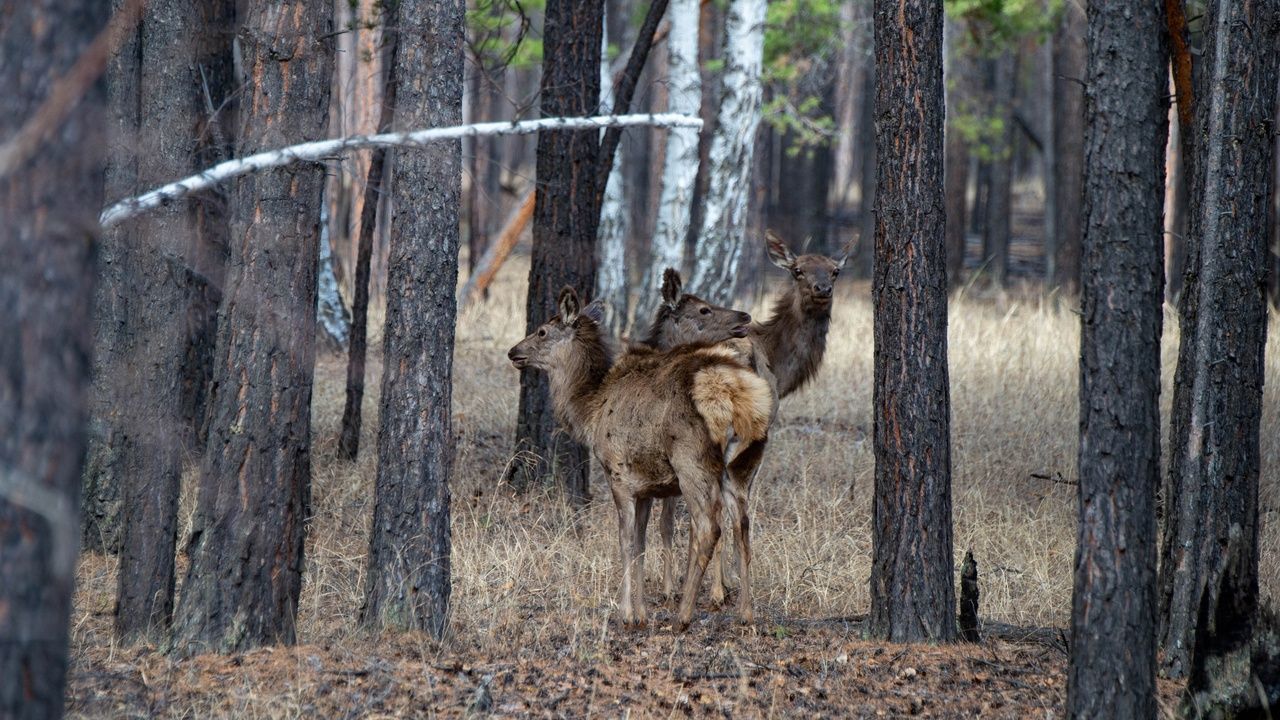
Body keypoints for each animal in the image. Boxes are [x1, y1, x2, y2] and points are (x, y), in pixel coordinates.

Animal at [506, 285, 768, 627]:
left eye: (542, 331)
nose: (513, 352)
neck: (590, 411)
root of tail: (734, 394)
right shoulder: (646, 487)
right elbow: (642, 545)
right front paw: (642, 612)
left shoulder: (619, 475)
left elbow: (626, 542)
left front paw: (626, 613)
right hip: (742, 465)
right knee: (743, 525)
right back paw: (746, 613)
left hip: (692, 462)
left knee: (709, 527)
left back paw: (683, 614)